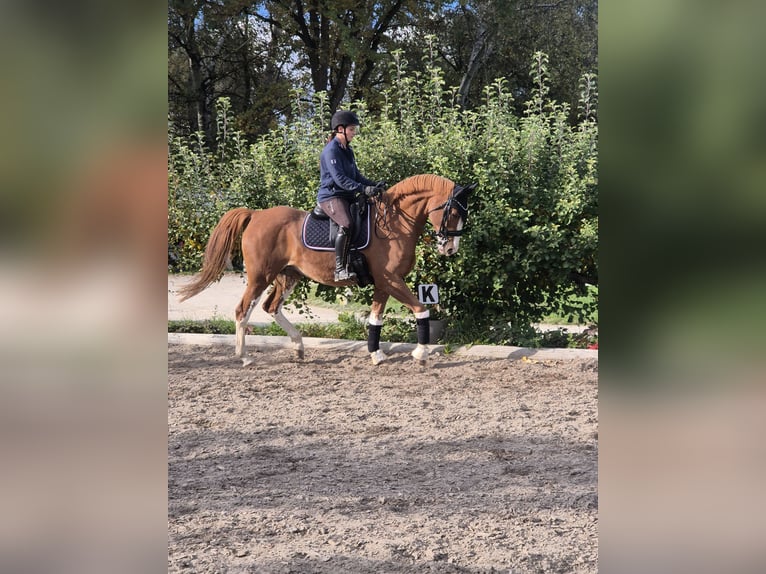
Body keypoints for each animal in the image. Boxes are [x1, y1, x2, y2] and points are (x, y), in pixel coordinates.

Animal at [177, 174, 475, 365]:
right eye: (452, 212)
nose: (450, 249)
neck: (394, 223)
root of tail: (257, 214)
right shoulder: (391, 280)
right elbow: (421, 309)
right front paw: (420, 354)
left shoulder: (384, 282)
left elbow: (376, 319)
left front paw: (376, 355)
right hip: (260, 276)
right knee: (243, 310)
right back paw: (245, 357)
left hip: (288, 276)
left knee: (271, 307)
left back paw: (298, 347)